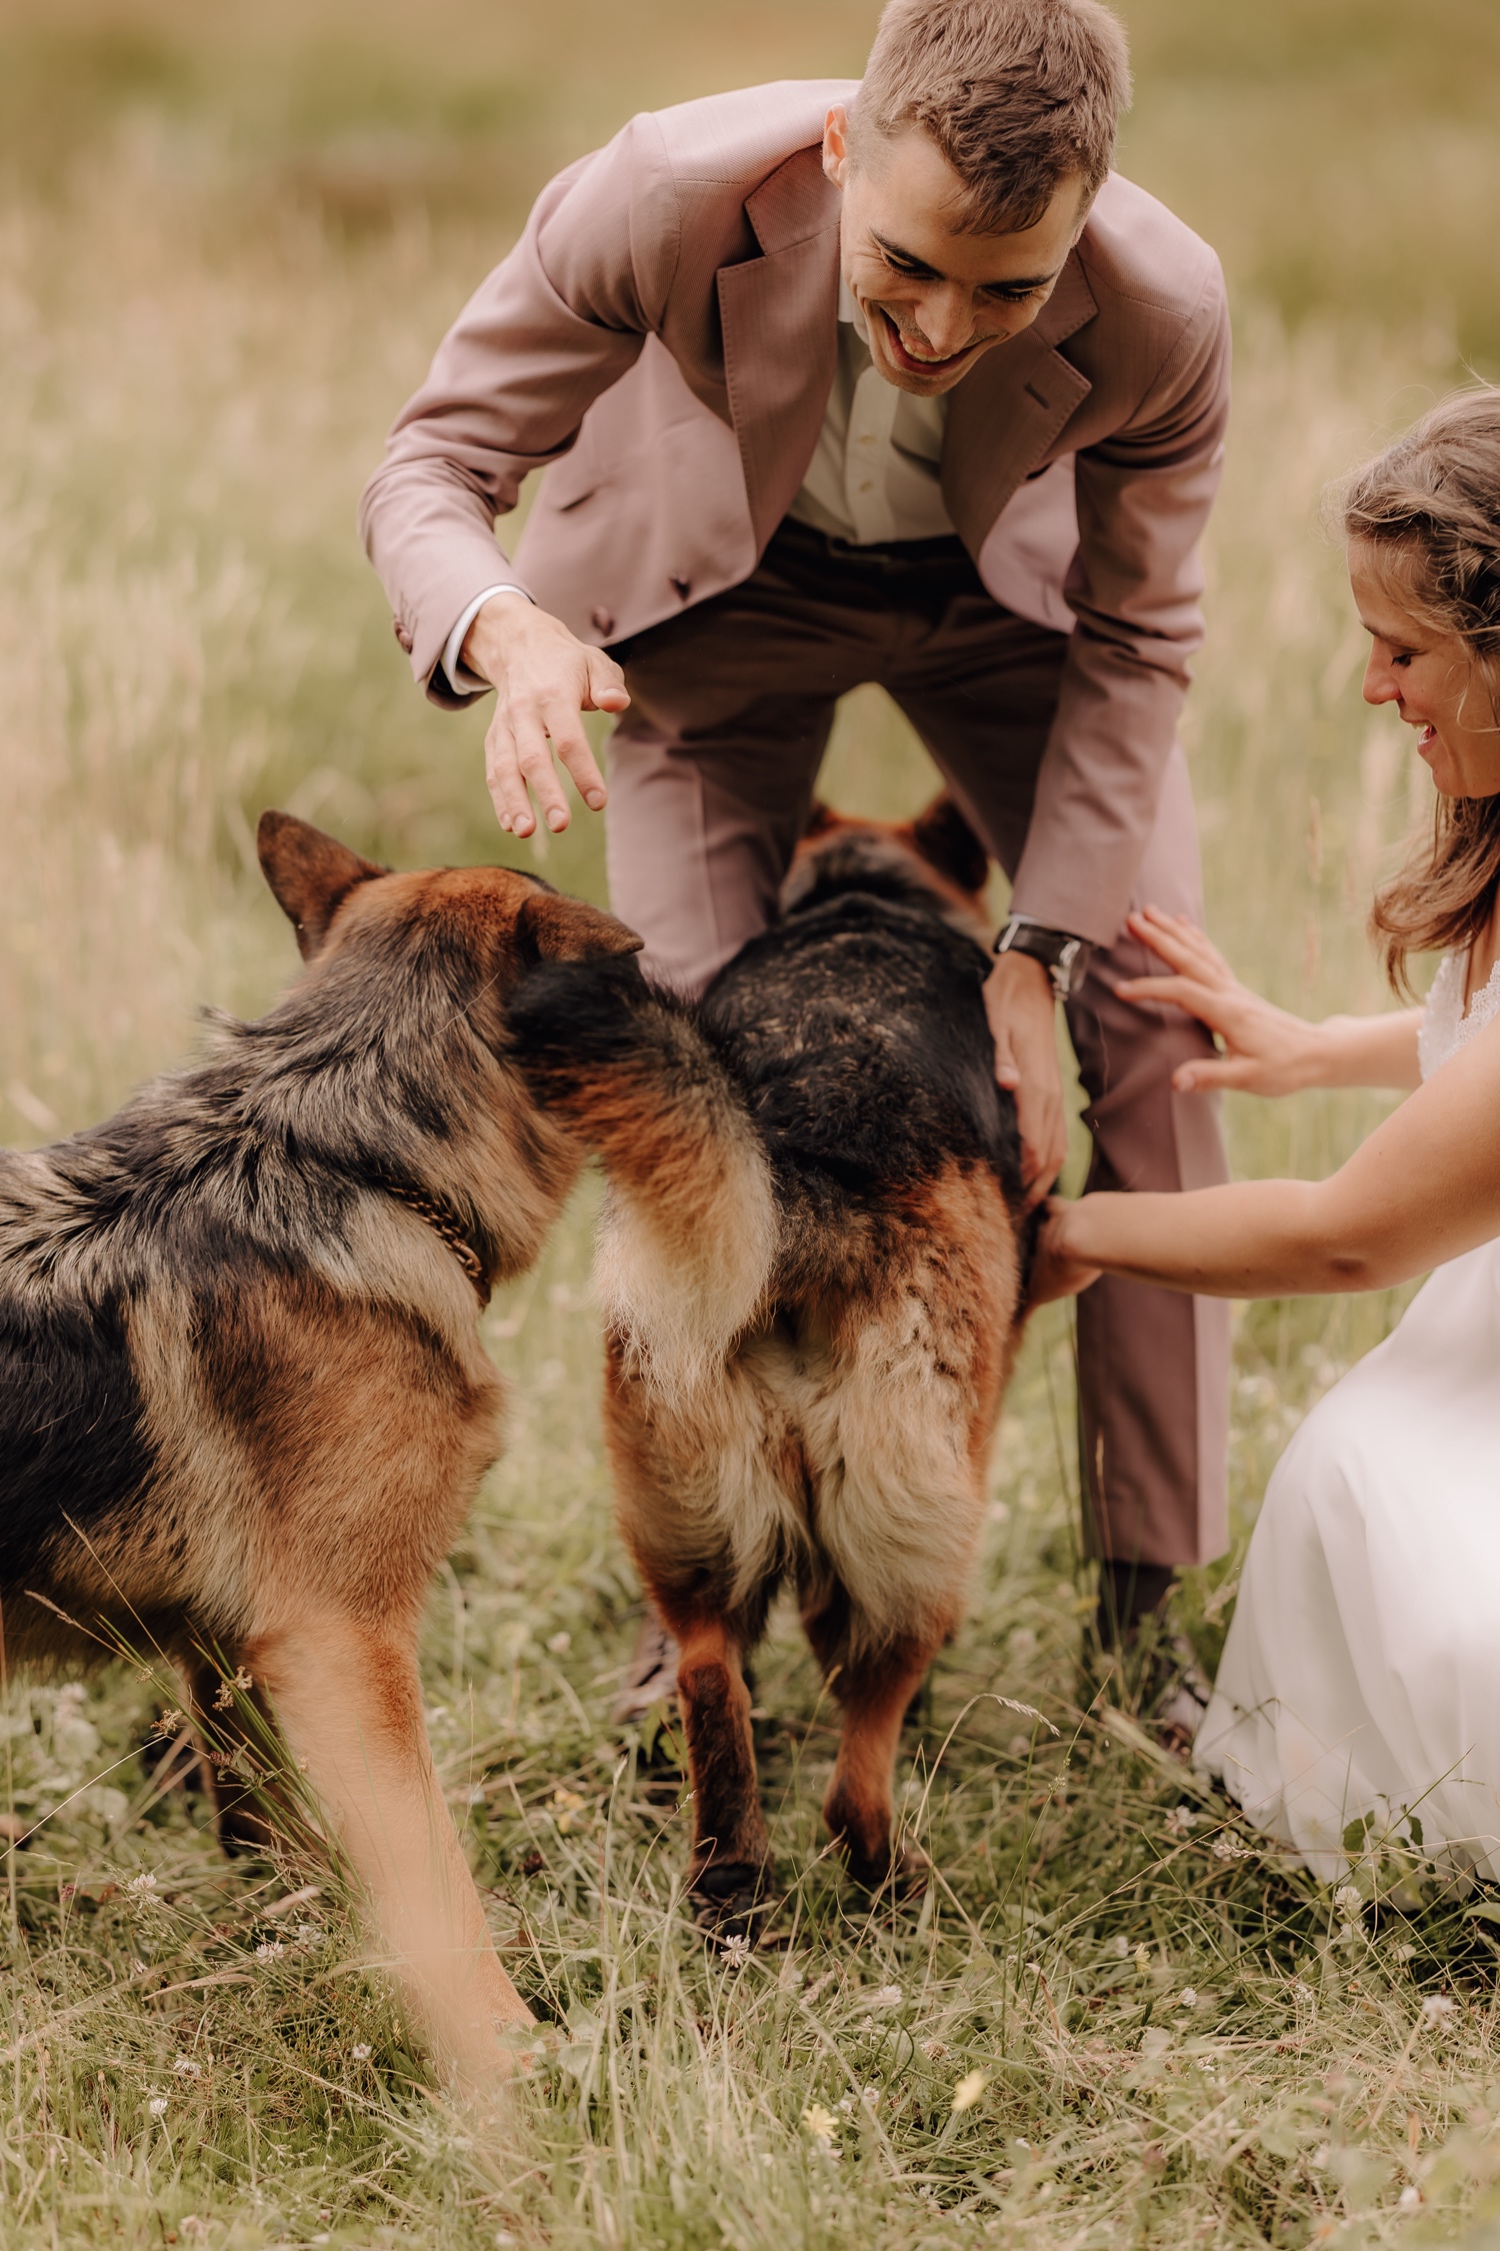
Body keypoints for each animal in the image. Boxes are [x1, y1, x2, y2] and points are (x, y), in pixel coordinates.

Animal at [0, 814, 635, 2088]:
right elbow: (438, 1892)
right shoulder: (346, 1650)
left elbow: (295, 1849)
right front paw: (510, 2071)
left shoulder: (237, 1651)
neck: (353, 1159)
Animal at [509, 801, 1036, 1908]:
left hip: (688, 1518)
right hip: (916, 1539)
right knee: (856, 1762)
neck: (861, 897)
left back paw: (730, 1880)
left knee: (711, 1677)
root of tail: (801, 1173)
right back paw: (891, 1876)